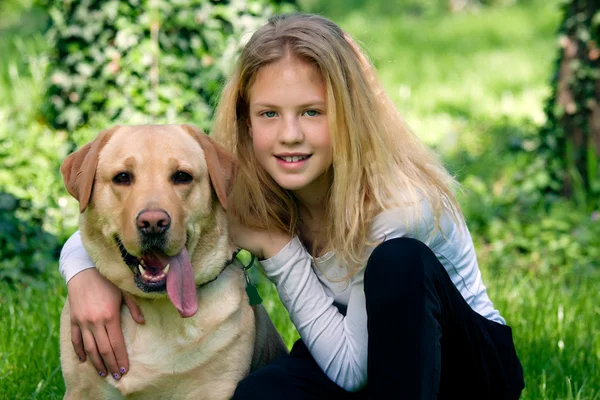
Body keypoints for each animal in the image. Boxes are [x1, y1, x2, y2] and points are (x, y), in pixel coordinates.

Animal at [59, 123, 288, 398]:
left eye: (182, 176)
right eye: (122, 177)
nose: (153, 223)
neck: (154, 307)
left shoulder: (214, 388)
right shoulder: (82, 390)